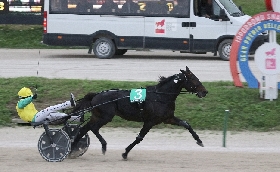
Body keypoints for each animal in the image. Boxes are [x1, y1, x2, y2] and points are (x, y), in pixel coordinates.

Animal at [71, 65, 208, 159]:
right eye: (193, 78)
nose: (205, 91)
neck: (160, 96)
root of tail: (96, 95)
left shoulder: (167, 118)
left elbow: (186, 124)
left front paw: (199, 141)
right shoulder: (150, 121)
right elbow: (139, 138)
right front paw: (125, 153)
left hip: (97, 116)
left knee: (84, 129)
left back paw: (73, 148)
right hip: (106, 117)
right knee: (94, 128)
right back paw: (103, 146)